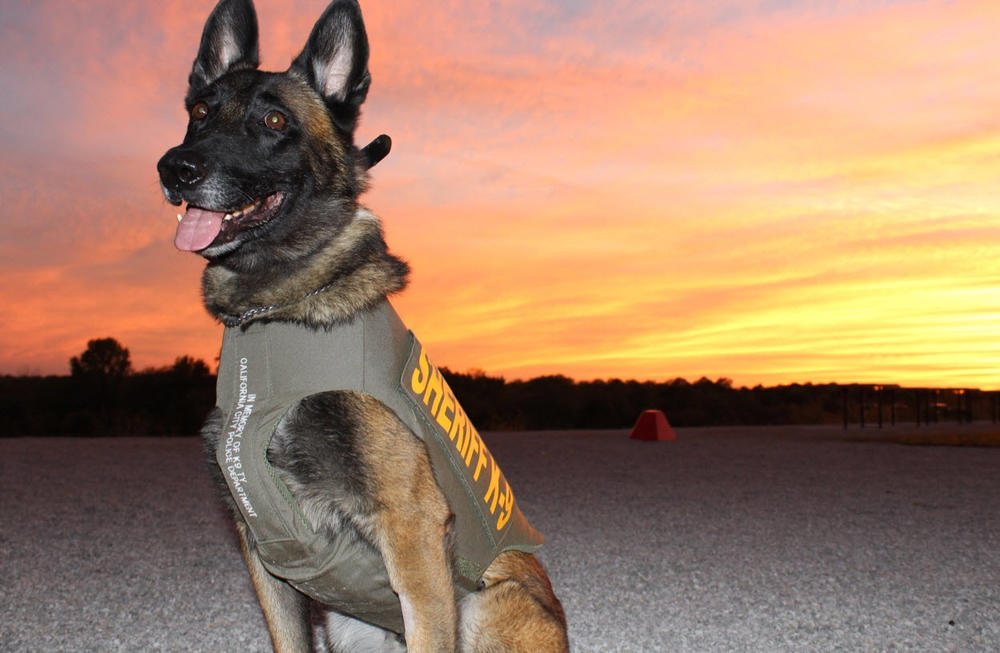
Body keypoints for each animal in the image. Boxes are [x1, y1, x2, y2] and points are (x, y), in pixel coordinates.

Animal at [159, 1, 572, 652]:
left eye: (274, 119)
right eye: (199, 113)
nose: (176, 168)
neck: (276, 314)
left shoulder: (412, 532)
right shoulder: (262, 548)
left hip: (490, 603)